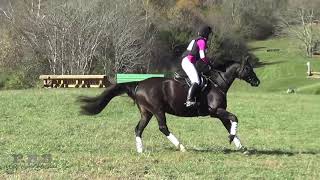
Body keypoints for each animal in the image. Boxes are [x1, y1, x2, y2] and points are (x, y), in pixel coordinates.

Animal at [79, 59, 260, 153]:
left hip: (146, 113)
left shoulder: (219, 113)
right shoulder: (216, 111)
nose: (257, 82)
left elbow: (230, 124)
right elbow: (234, 118)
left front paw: (241, 146)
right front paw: (233, 140)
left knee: (138, 129)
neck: (217, 84)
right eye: (248, 68)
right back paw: (181, 147)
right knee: (163, 127)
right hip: (158, 110)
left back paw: (140, 151)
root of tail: (139, 84)